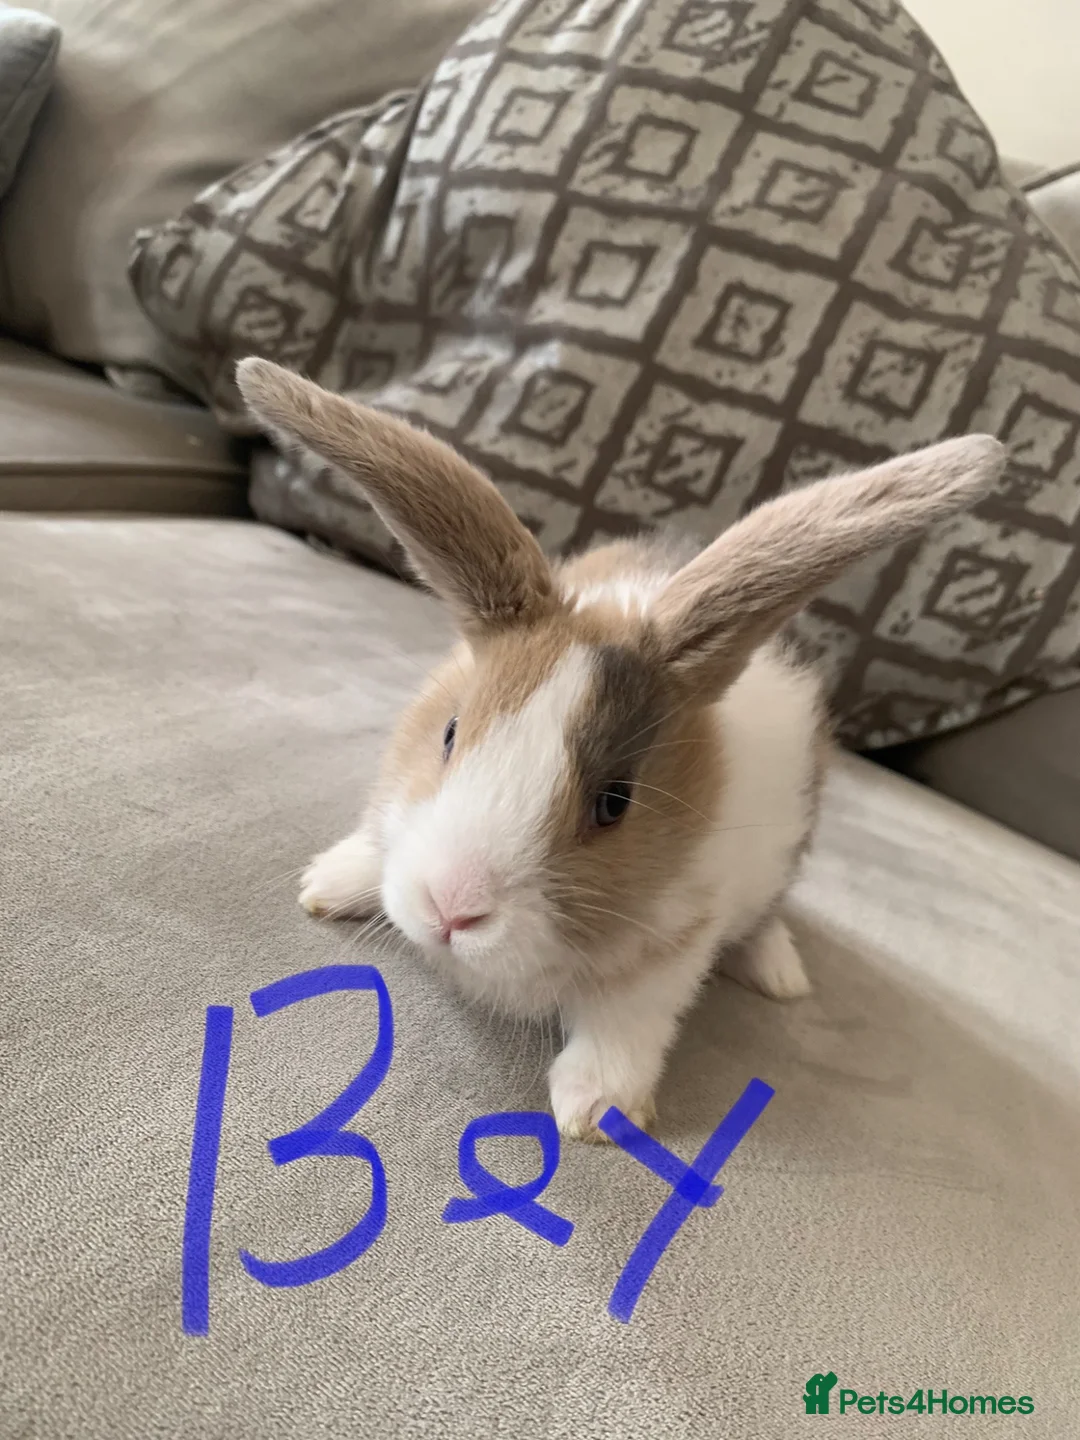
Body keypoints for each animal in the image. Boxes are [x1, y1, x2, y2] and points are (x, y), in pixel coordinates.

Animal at [236, 356, 1006, 1142]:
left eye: (615, 802)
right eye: (450, 732)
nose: (451, 909)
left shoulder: (675, 942)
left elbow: (625, 1021)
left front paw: (598, 1112)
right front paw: (327, 886)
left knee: (765, 921)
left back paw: (781, 976)